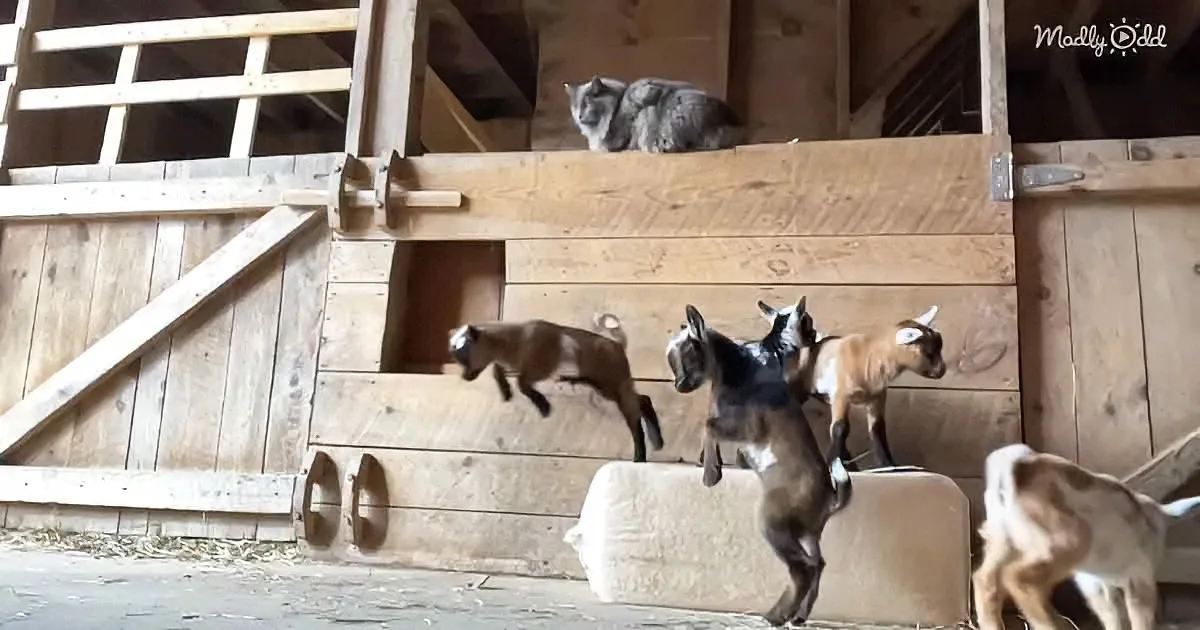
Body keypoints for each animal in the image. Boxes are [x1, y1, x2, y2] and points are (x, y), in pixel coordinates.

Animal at [448, 314, 664, 462]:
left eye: (465, 355)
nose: (465, 377)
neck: (513, 341)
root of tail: (618, 346)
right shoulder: (509, 364)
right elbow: (498, 371)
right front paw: (506, 392)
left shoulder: (540, 369)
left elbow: (522, 383)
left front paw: (544, 407)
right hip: (607, 386)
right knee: (643, 400)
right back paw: (657, 441)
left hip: (614, 384)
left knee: (634, 414)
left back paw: (640, 456)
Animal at [665, 303, 852, 627]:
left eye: (689, 352)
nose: (679, 385)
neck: (739, 370)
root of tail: (829, 499)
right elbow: (710, 425)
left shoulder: (749, 428)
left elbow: (708, 424)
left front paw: (711, 474)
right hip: (807, 533)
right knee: (816, 565)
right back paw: (797, 616)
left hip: (773, 520)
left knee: (802, 569)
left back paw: (776, 616)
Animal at [759, 300, 946, 470]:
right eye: (929, 353)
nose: (942, 371)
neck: (869, 357)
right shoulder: (841, 395)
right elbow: (840, 428)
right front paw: (834, 463)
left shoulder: (877, 399)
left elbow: (878, 431)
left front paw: (889, 466)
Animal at [972, 443, 1200, 630]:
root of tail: (1012, 467)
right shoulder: (1138, 575)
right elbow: (1139, 617)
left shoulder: (1095, 582)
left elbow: (1113, 616)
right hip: (1067, 542)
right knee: (1018, 578)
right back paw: (1051, 624)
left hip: (1002, 539)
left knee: (985, 580)